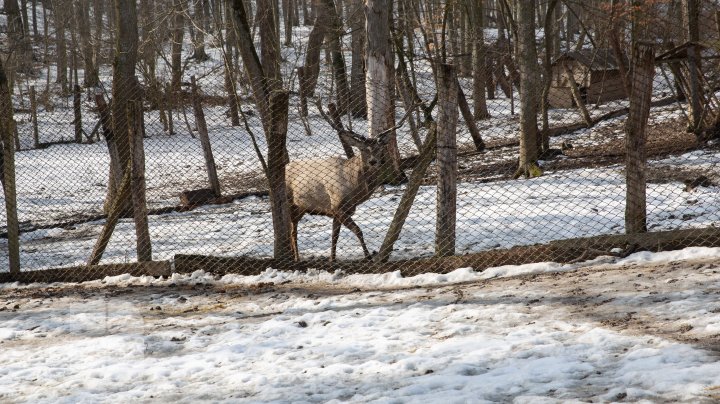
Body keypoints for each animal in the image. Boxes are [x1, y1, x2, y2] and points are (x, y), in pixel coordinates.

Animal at [286, 130, 404, 262]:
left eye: (379, 147)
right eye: (362, 149)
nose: (373, 161)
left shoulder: (339, 211)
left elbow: (335, 236)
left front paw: (332, 259)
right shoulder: (337, 207)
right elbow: (358, 231)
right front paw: (368, 256)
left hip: (301, 208)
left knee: (291, 229)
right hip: (290, 203)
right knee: (292, 231)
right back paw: (297, 258)